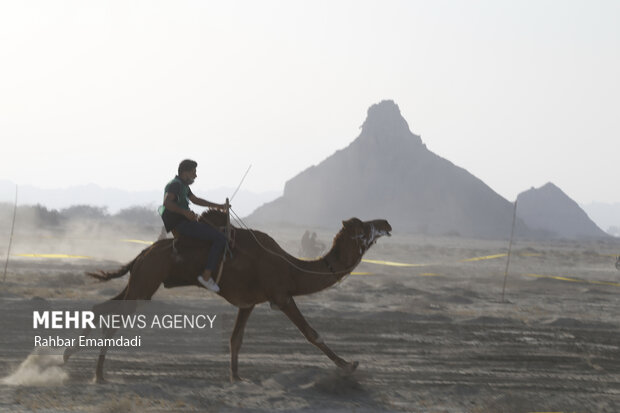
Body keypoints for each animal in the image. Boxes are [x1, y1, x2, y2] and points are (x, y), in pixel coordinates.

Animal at [63, 209, 392, 384]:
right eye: (364, 227)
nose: (386, 224)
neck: (291, 267)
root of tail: (143, 253)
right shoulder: (281, 296)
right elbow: (312, 333)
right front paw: (349, 366)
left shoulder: (249, 302)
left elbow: (236, 339)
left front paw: (236, 378)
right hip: (147, 281)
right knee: (115, 318)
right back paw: (97, 374)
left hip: (141, 278)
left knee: (103, 306)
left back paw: (69, 356)